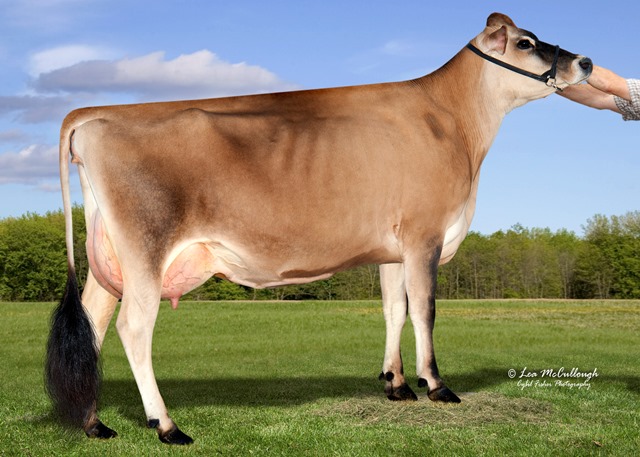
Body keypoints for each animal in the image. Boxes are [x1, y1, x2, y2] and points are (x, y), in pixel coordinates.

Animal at [45, 12, 592, 445]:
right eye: (526, 43)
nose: (585, 62)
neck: (453, 123)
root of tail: (94, 115)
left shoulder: (392, 248)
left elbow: (394, 309)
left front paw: (396, 384)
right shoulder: (424, 236)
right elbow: (425, 311)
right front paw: (436, 386)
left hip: (108, 258)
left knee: (92, 325)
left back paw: (94, 423)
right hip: (145, 250)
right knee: (133, 328)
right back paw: (166, 425)